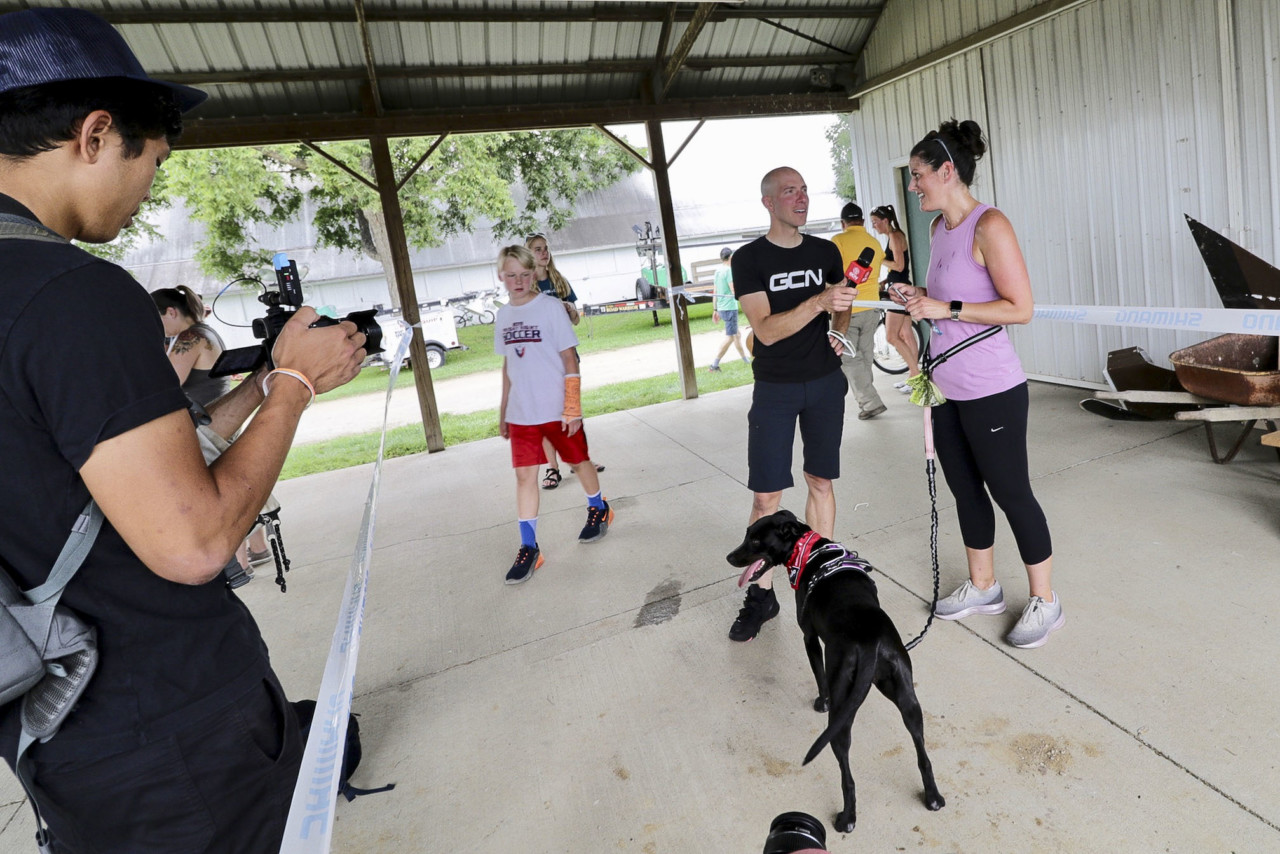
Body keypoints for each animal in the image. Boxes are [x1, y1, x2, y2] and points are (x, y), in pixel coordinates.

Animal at [727, 512, 947, 829]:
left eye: (756, 541)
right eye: (747, 536)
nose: (730, 557)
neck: (809, 550)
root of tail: (871, 643)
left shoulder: (809, 637)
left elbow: (820, 678)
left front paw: (821, 701)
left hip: (841, 717)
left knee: (847, 775)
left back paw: (847, 817)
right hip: (908, 701)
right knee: (923, 755)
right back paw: (933, 797)